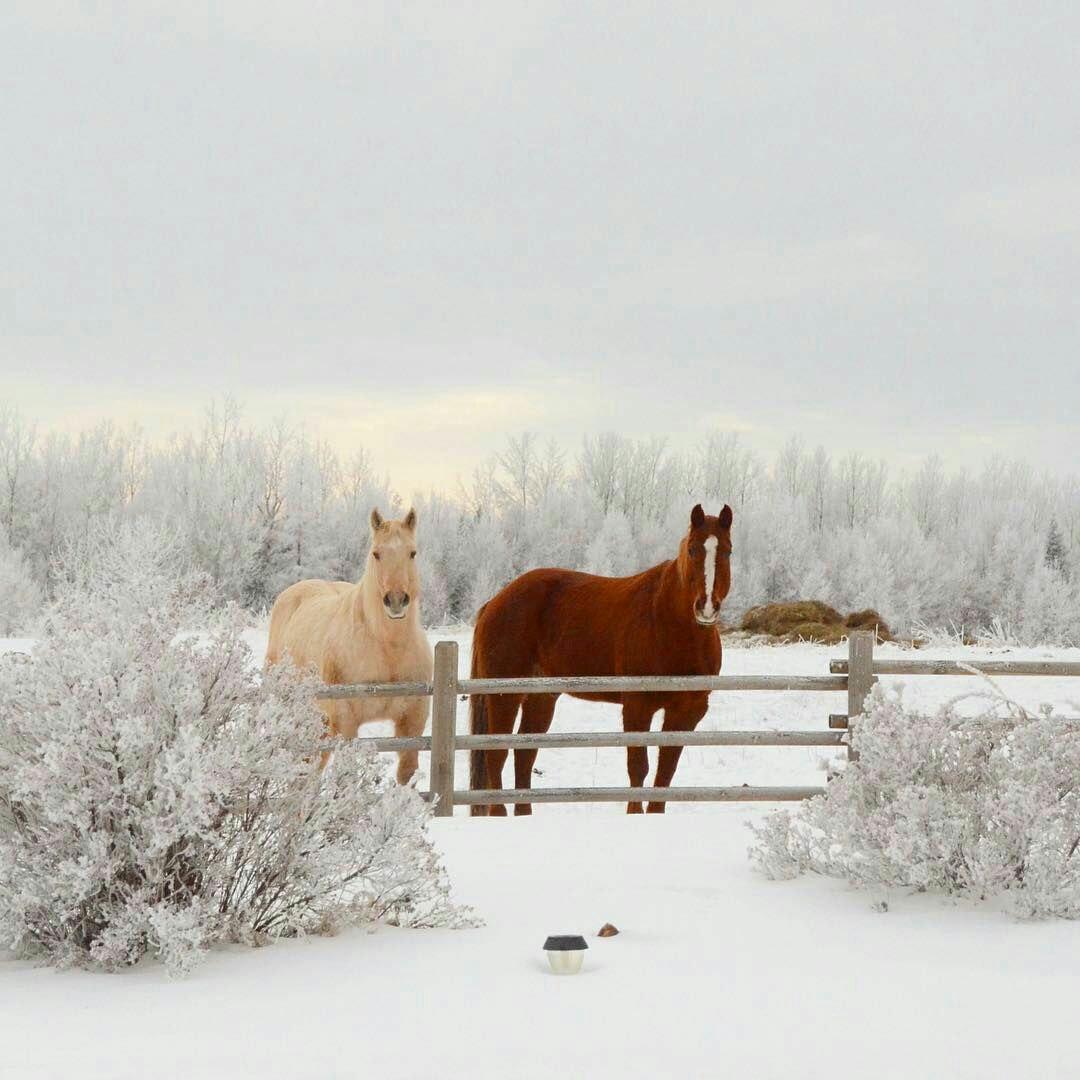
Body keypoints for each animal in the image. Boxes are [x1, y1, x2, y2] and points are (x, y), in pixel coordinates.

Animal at [264, 509, 429, 781]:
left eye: (413, 553)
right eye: (376, 553)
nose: (396, 600)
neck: (387, 649)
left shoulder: (412, 722)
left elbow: (407, 775)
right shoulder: (346, 722)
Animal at [466, 501, 730, 812]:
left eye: (727, 550)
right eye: (692, 549)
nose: (707, 606)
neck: (667, 623)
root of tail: (496, 601)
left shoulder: (688, 711)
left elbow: (666, 770)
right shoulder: (637, 706)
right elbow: (638, 767)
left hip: (541, 698)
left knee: (524, 755)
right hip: (504, 696)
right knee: (496, 754)